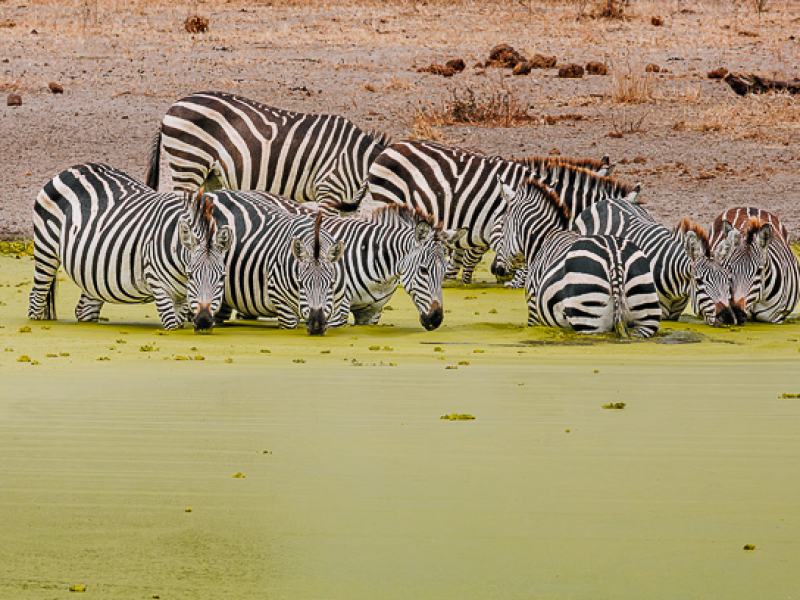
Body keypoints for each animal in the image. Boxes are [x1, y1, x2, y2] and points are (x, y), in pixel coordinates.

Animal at [28, 163, 231, 332]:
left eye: (223, 277)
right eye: (191, 274)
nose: (204, 321)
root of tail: (73, 168)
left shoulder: (182, 296)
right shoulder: (157, 283)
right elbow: (171, 325)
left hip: (92, 272)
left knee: (84, 309)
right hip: (45, 249)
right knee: (36, 299)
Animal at [204, 192, 346, 335]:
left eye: (332, 284)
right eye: (301, 284)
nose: (316, 327)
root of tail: (210, 193)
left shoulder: (336, 310)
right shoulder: (283, 305)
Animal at [494, 179, 661, 338]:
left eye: (502, 225)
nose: (496, 269)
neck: (543, 239)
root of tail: (614, 258)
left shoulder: (533, 309)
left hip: (587, 318)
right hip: (645, 315)